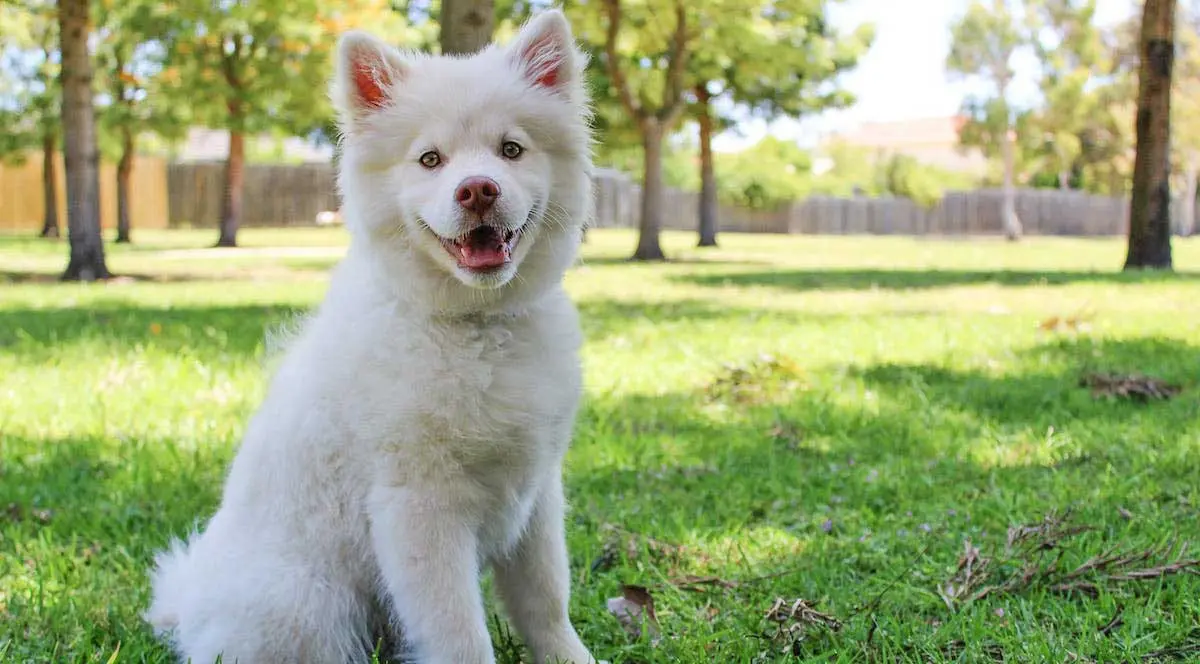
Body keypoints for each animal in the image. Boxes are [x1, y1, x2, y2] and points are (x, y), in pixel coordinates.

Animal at [146, 11, 600, 662]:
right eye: (430, 159)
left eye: (511, 150)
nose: (478, 189)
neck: (475, 326)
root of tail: (188, 607)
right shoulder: (419, 506)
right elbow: (459, 632)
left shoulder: (535, 494)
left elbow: (546, 602)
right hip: (307, 607)